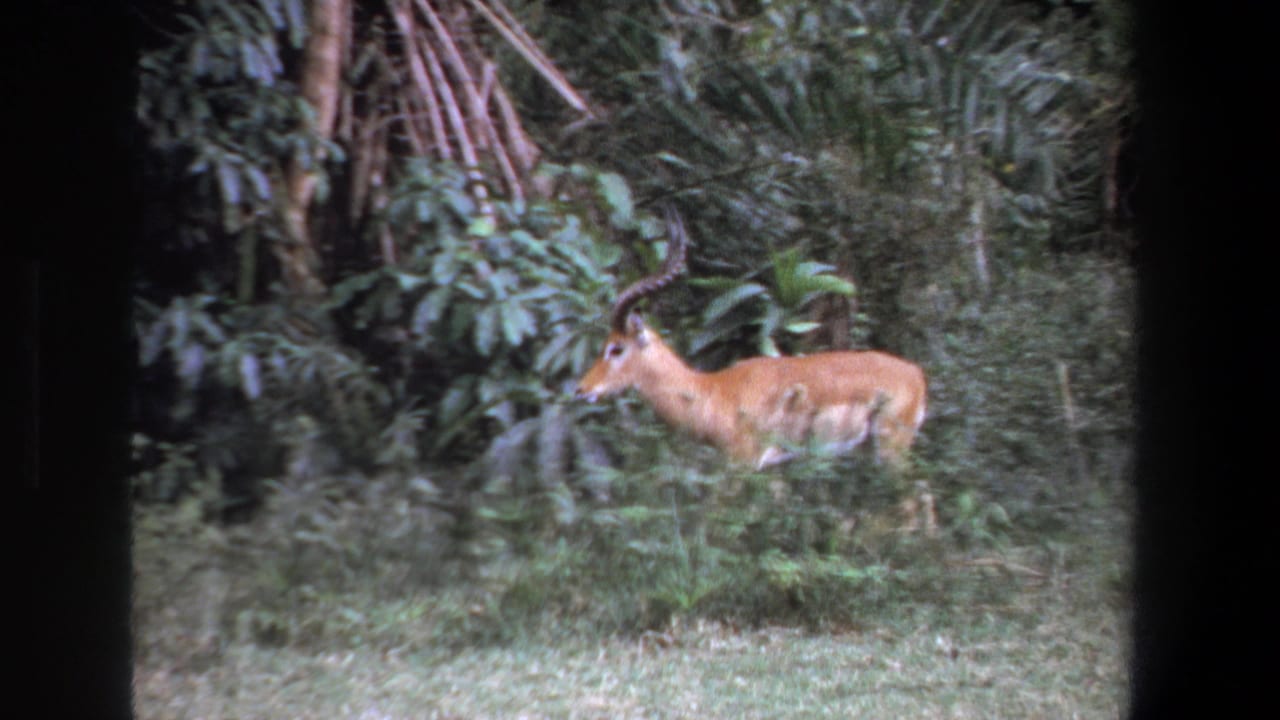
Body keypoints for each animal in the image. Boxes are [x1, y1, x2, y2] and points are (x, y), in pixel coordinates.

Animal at [575, 206, 931, 531]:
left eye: (616, 348)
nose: (582, 389)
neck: (713, 391)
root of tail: (915, 374)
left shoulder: (742, 464)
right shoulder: (769, 469)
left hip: (891, 450)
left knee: (915, 499)